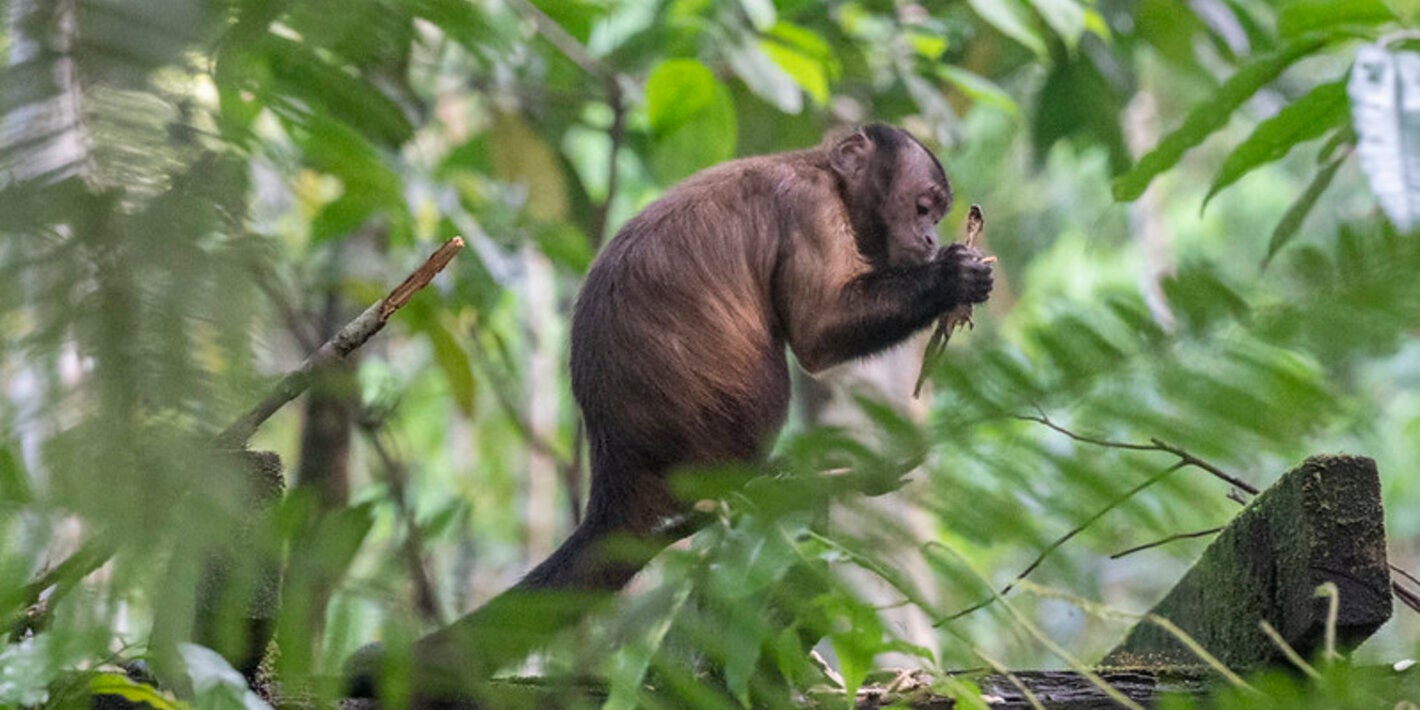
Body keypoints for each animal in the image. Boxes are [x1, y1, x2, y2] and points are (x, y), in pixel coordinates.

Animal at [348, 123, 993, 697]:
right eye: (923, 208)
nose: (929, 239)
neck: (825, 174)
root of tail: (617, 466)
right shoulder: (809, 210)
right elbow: (817, 335)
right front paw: (950, 278)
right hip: (707, 436)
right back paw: (759, 479)